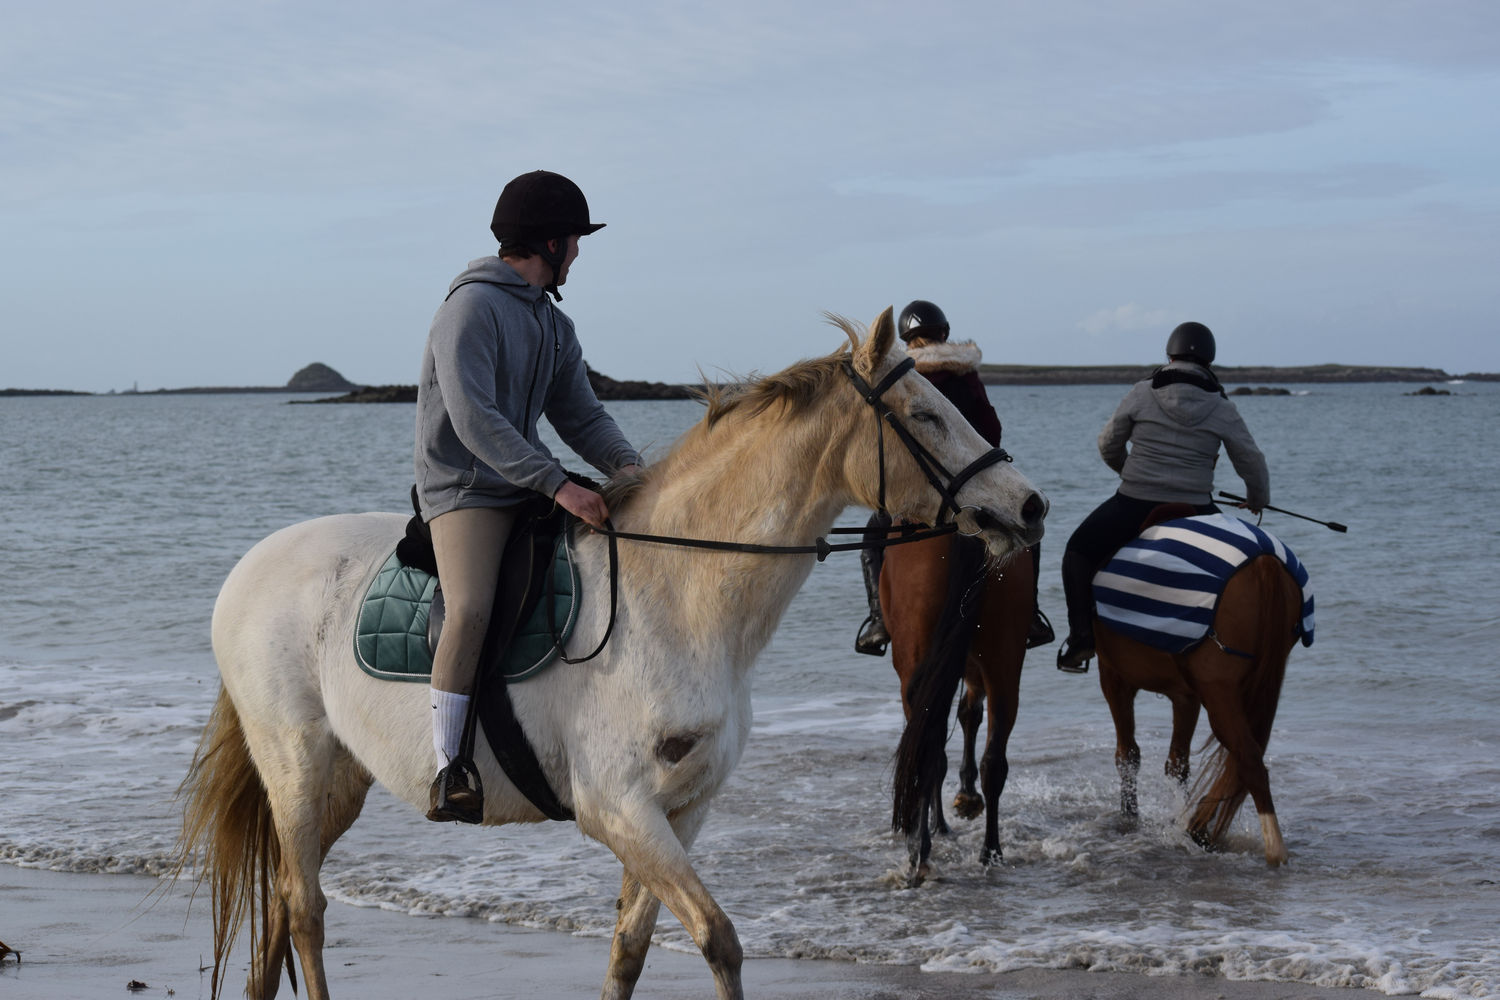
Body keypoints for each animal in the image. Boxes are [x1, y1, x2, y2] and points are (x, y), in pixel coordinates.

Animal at [882, 530, 1038, 881]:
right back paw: (990, 852)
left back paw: (920, 848)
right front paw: (966, 795)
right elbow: (969, 713)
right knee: (994, 758)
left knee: (927, 750)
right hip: (1004, 657)